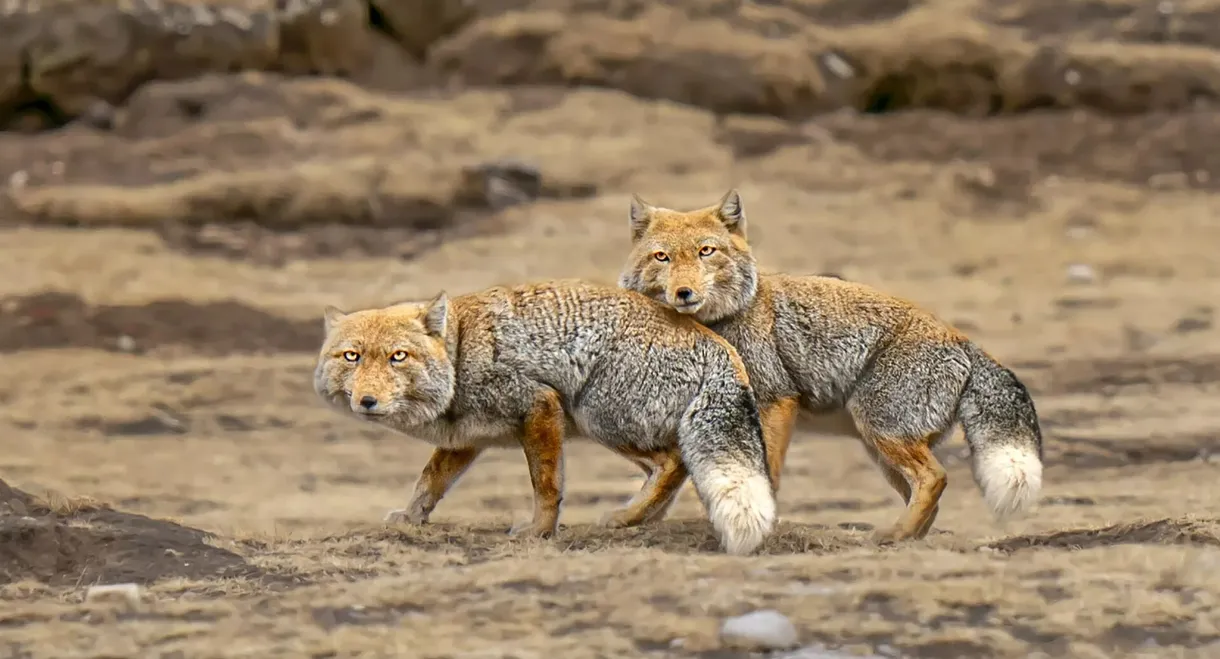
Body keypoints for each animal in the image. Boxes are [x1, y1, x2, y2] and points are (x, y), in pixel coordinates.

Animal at [309, 278, 775, 556]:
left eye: (397, 357)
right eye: (351, 357)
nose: (367, 401)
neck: (459, 357)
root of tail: (718, 342)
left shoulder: (539, 406)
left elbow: (546, 485)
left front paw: (540, 532)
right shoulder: (464, 440)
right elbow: (428, 483)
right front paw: (410, 519)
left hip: (598, 417)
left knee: (674, 462)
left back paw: (627, 517)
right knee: (670, 468)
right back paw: (639, 517)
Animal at [614, 189, 1044, 539]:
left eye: (707, 251)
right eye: (662, 257)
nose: (684, 292)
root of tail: (963, 340)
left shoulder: (775, 400)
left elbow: (764, 472)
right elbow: (671, 475)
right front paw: (636, 517)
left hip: (881, 432)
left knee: (935, 478)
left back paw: (893, 536)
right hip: (881, 449)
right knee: (928, 495)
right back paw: (907, 536)